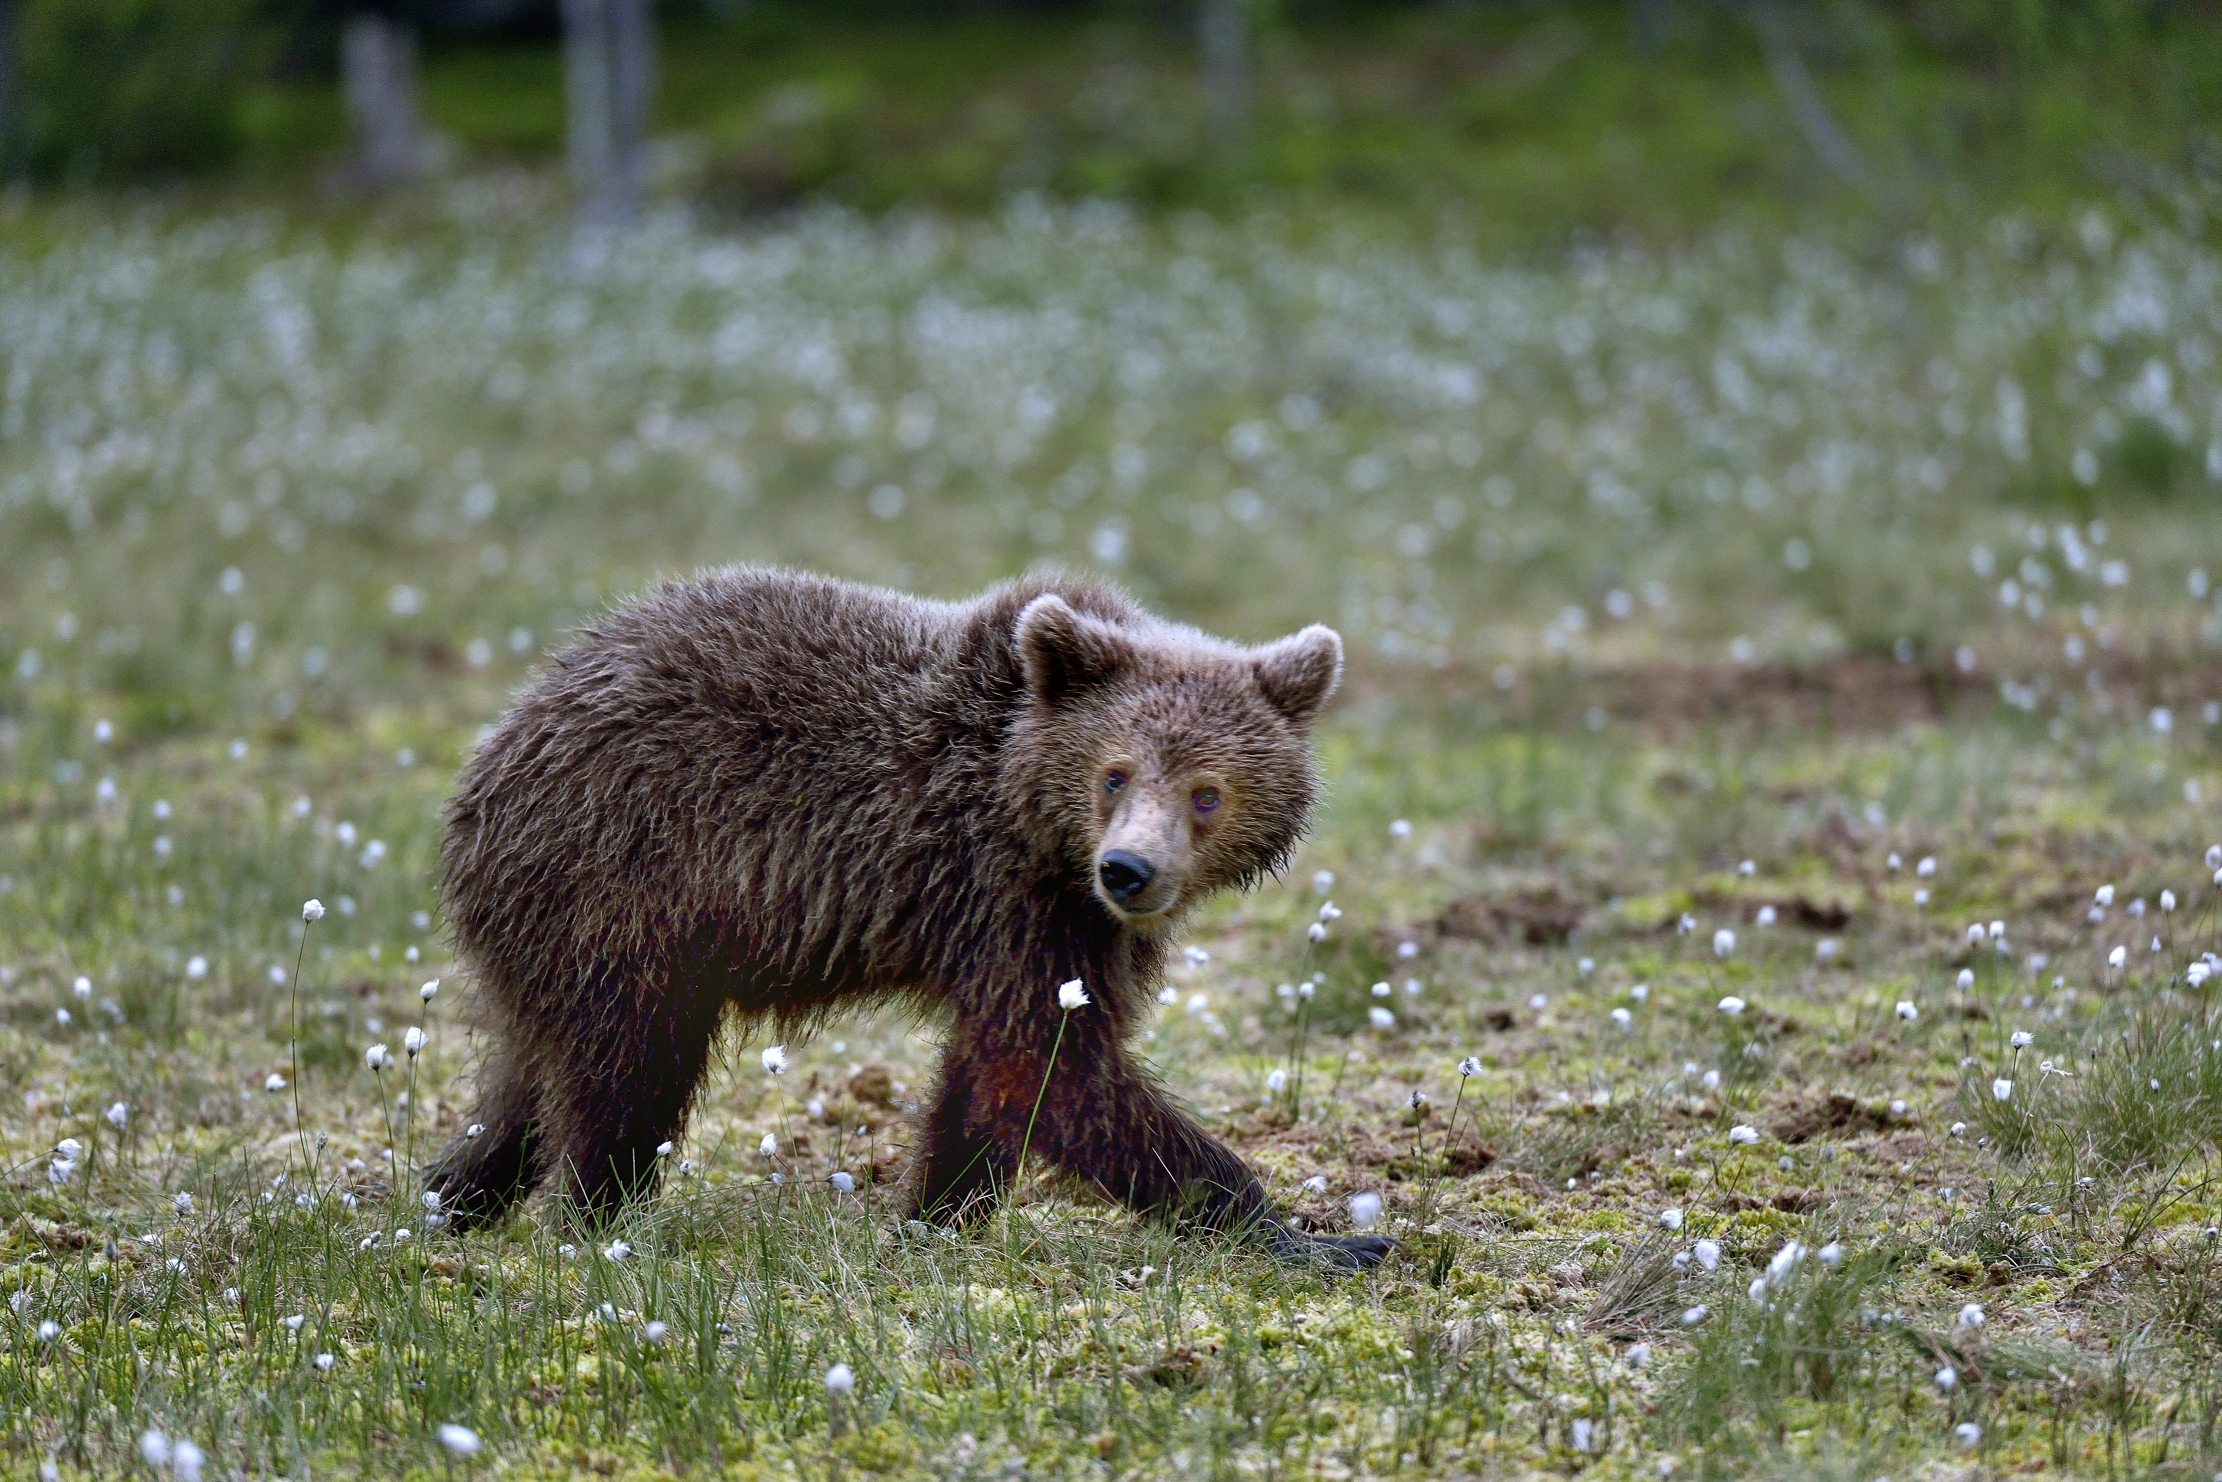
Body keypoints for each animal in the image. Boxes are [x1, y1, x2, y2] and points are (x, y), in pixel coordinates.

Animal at [426, 566, 1391, 1269]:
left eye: (1205, 793)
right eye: (1114, 772)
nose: (1130, 870)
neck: (1028, 804)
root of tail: (499, 744)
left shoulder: (1073, 928)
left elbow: (998, 1068)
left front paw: (932, 1213)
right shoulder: (1000, 888)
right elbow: (1050, 1065)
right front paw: (1316, 1234)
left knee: (527, 1083)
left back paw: (449, 1195)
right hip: (622, 885)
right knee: (627, 1078)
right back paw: (597, 1223)